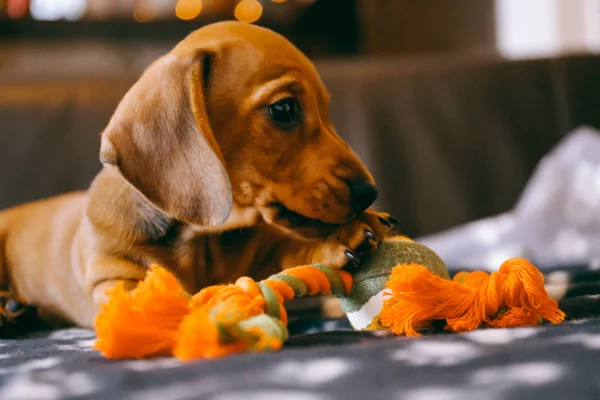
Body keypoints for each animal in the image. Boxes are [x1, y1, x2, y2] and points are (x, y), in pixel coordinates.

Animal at [0, 21, 394, 332]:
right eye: (283, 109)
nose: (369, 192)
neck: (201, 238)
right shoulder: (116, 281)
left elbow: (287, 247)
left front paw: (341, 236)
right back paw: (10, 310)